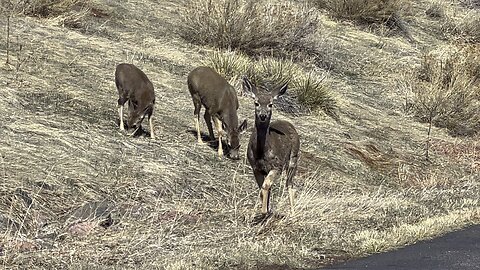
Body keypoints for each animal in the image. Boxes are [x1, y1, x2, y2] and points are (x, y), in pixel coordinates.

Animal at [244, 77, 300, 217]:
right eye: (256, 103)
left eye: (271, 104)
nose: (263, 115)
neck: (261, 153)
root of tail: (289, 124)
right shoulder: (255, 167)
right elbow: (263, 187)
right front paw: (264, 210)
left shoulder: (277, 166)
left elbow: (266, 185)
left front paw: (263, 211)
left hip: (293, 159)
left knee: (289, 184)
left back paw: (293, 213)